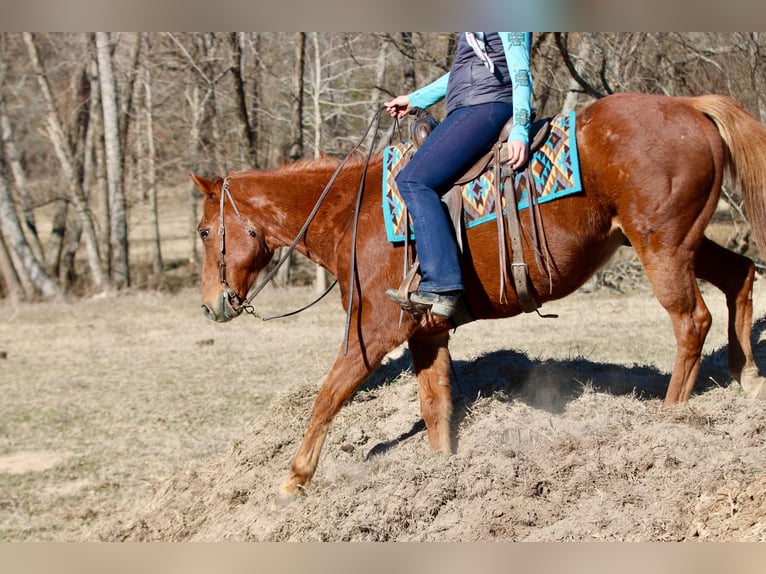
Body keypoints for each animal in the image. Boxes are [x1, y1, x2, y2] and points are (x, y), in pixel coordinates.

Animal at [191, 92, 766, 500]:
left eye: (203, 231)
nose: (211, 306)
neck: (351, 213)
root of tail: (688, 106)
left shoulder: (374, 329)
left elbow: (329, 394)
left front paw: (293, 480)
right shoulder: (426, 331)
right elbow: (435, 404)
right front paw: (442, 473)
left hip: (662, 246)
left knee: (691, 321)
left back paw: (669, 419)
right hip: (683, 241)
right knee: (739, 276)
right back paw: (748, 377)